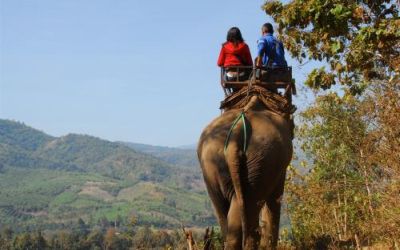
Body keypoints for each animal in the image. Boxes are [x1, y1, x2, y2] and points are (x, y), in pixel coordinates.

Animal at [198, 86, 294, 250]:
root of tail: (236, 132)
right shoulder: (279, 166)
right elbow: (275, 197)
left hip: (212, 166)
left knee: (225, 212)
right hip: (260, 162)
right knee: (248, 206)